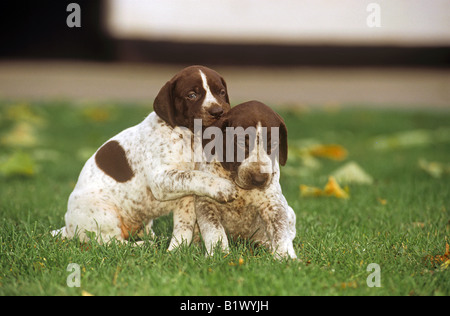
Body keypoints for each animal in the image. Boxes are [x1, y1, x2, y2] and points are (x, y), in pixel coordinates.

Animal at [195, 101, 298, 260]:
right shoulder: (205, 202)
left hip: (290, 212)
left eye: (274, 144)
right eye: (242, 143)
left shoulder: (273, 204)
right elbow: (214, 230)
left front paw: (285, 255)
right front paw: (219, 253)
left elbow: (280, 231)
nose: (260, 179)